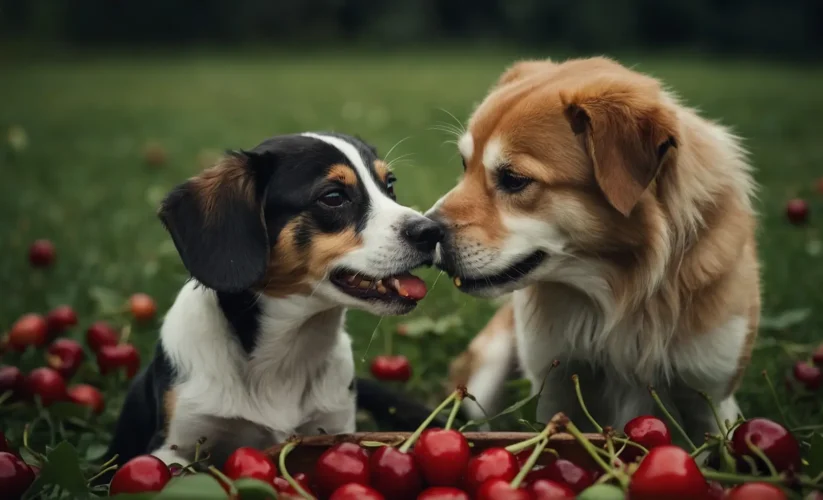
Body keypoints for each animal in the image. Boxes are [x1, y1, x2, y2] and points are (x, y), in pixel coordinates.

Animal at [108, 133, 444, 468]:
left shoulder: (333, 426)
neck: (287, 355)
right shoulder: (171, 447)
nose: (433, 230)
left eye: (389, 185)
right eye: (333, 197)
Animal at [432, 56, 760, 444]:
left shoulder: (710, 396)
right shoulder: (554, 384)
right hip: (490, 365)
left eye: (513, 179)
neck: (620, 289)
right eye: (465, 165)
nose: (424, 230)